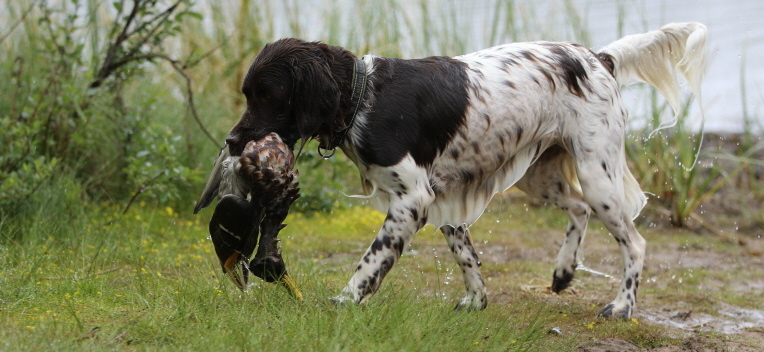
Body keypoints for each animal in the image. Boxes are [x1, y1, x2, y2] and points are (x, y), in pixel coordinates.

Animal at [200, 22, 708, 320]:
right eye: (248, 94)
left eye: (268, 95)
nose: (231, 142)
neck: (364, 97)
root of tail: (597, 59)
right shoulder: (442, 196)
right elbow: (466, 256)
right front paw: (476, 300)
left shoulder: (412, 199)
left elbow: (371, 260)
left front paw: (346, 300)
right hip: (541, 176)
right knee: (579, 210)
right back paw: (563, 272)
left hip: (597, 173)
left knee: (635, 243)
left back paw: (622, 305)